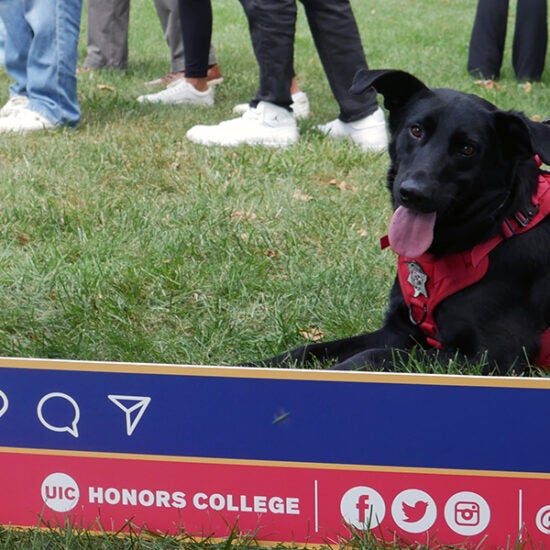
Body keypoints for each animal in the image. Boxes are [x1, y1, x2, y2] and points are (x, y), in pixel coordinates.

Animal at [256, 70, 550, 376]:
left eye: (468, 149)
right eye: (416, 130)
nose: (413, 193)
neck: (494, 226)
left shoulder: (488, 357)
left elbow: (371, 357)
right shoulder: (399, 330)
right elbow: (312, 349)